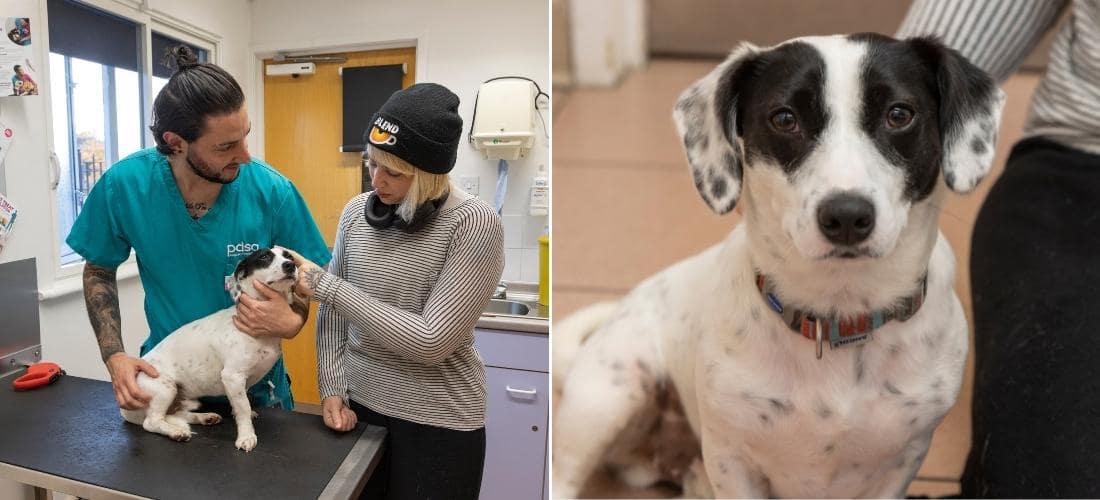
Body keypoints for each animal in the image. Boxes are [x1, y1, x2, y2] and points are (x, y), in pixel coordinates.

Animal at [120, 247, 299, 454]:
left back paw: (204, 417)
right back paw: (176, 432)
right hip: (165, 388)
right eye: (263, 257)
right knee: (152, 422)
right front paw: (246, 436)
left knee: (177, 414)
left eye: (289, 256)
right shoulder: (232, 376)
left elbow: (241, 403)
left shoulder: (239, 383)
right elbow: (243, 408)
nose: (290, 265)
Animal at [550, 33, 1007, 498]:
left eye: (899, 114)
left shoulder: (901, 464)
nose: (846, 216)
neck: (838, 315)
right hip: (610, 396)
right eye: (784, 118)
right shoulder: (732, 462)